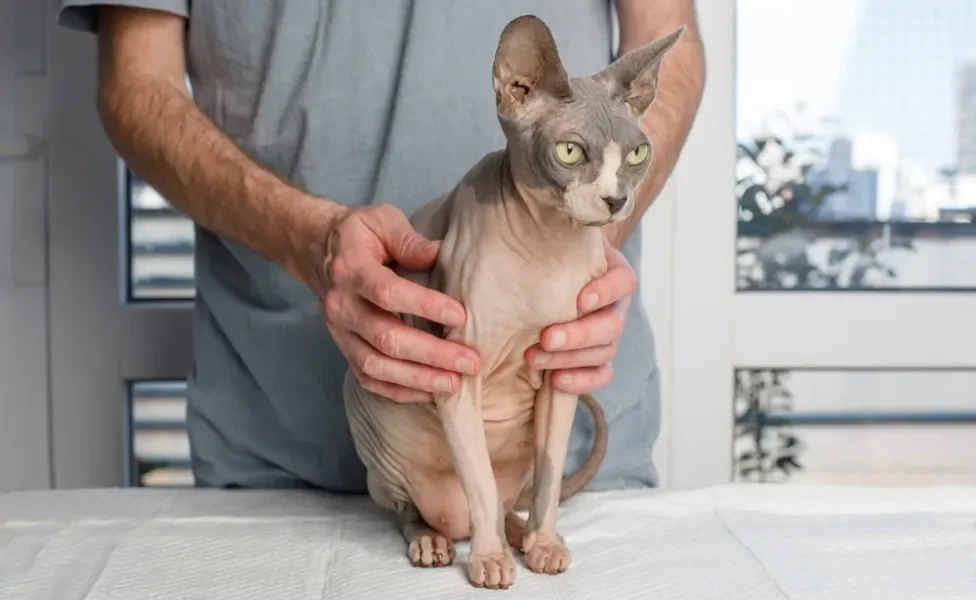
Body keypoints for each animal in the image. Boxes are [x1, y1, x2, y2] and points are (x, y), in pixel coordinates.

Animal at [344, 15, 688, 592]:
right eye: (570, 152)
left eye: (637, 155)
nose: (616, 200)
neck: (547, 245)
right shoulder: (459, 371)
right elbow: (478, 479)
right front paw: (488, 561)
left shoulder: (561, 369)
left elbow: (549, 477)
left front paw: (544, 544)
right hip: (373, 430)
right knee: (415, 507)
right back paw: (436, 540)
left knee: (512, 498)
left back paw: (520, 533)